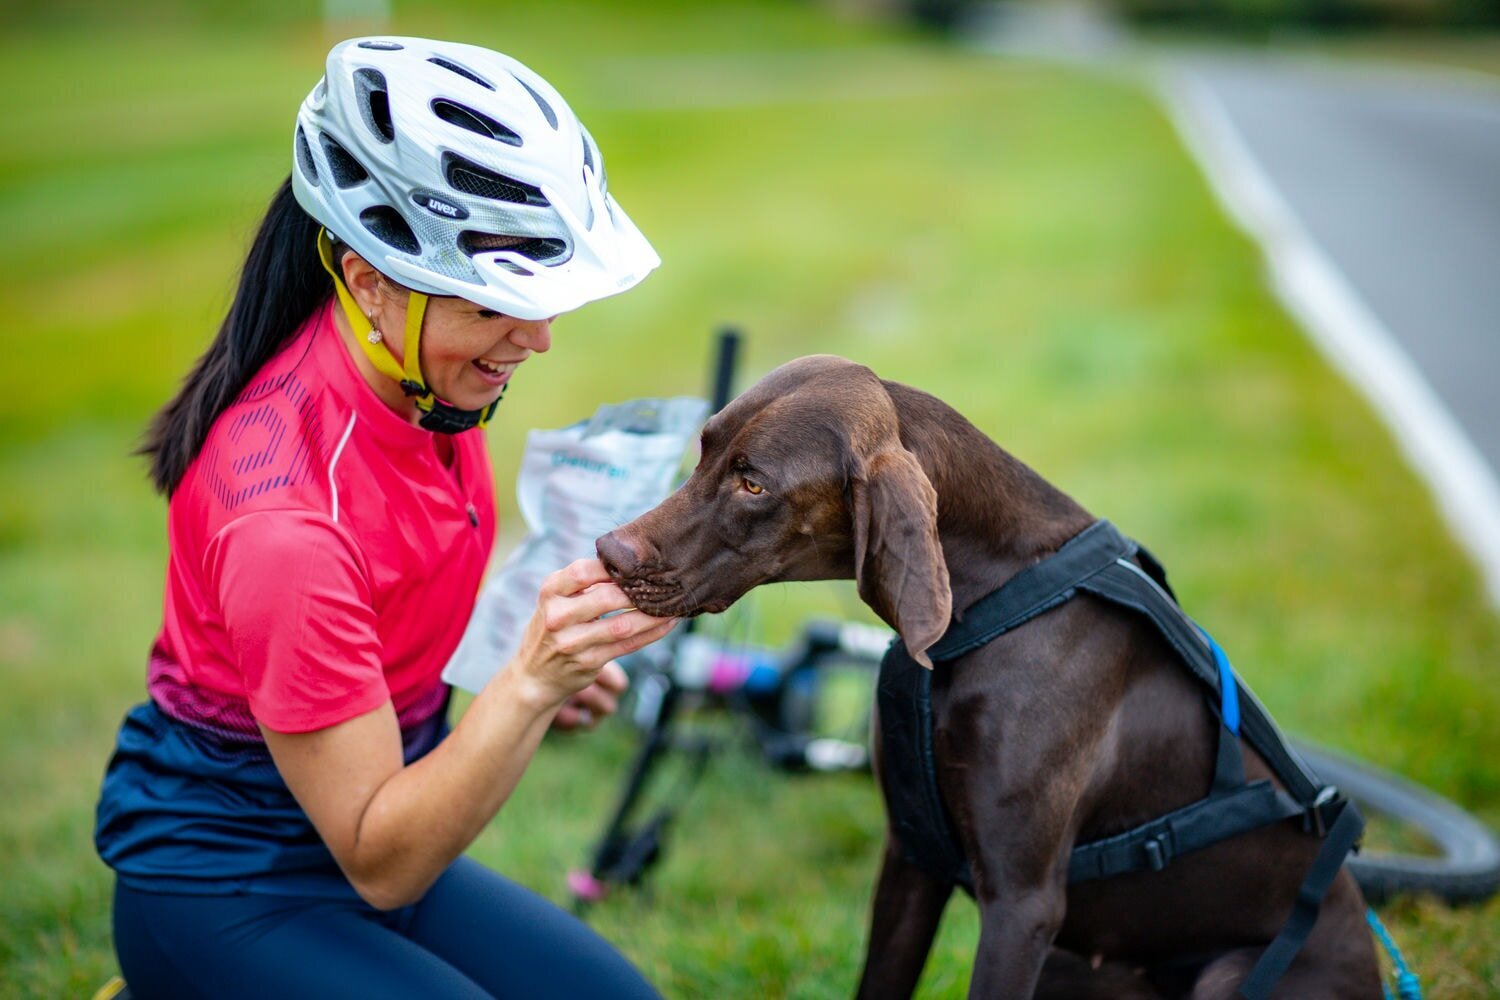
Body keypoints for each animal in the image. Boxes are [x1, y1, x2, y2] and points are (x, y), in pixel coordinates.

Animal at [597, 355, 1380, 995]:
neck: (994, 601)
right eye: (705, 448)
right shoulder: (910, 858)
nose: (608, 551)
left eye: (754, 482)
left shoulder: (1021, 904)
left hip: (1223, 974)